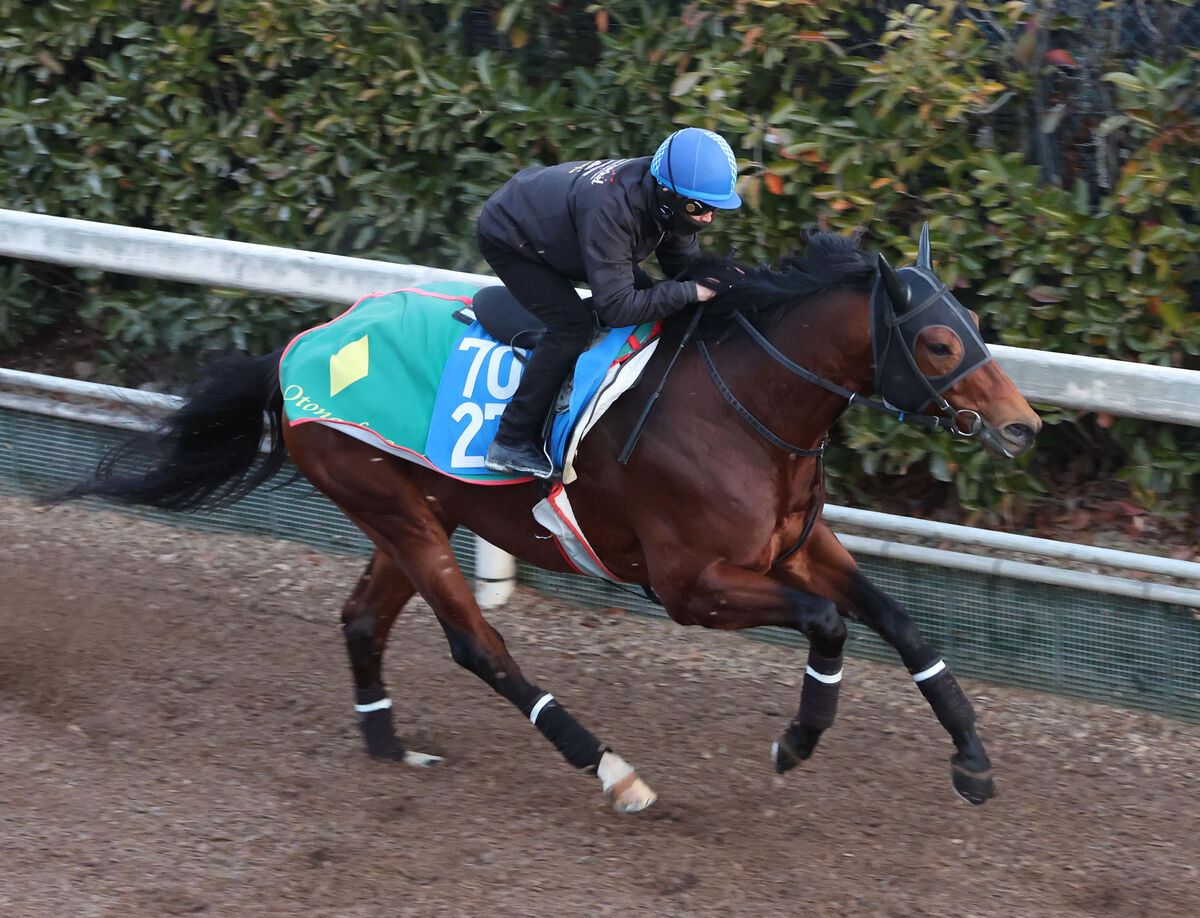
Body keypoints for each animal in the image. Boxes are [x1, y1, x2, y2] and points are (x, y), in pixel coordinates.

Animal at [63, 228, 1041, 811]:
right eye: (940, 343)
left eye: (973, 321)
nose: (1024, 426)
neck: (743, 406)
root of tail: (300, 348)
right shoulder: (692, 586)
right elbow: (830, 625)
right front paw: (796, 740)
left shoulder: (797, 545)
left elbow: (901, 621)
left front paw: (972, 760)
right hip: (394, 508)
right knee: (476, 646)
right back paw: (609, 767)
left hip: (407, 511)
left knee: (363, 619)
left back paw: (388, 747)